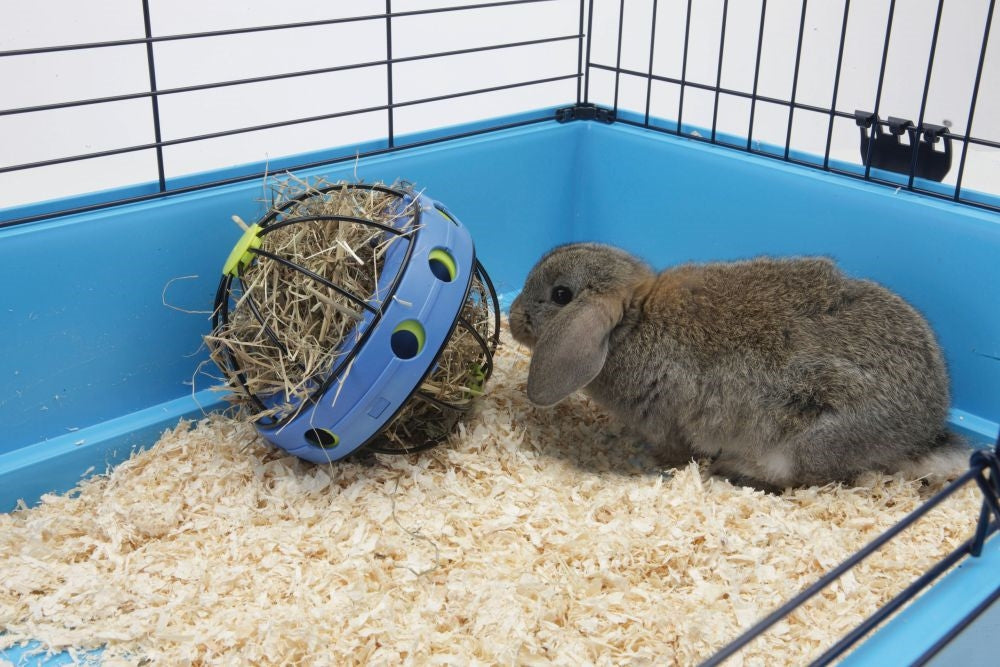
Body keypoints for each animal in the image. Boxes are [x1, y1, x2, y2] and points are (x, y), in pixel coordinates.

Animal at [509, 242, 969, 491]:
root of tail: (921, 433)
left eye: (561, 295)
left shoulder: (668, 425)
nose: (513, 319)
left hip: (811, 438)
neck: (633, 321)